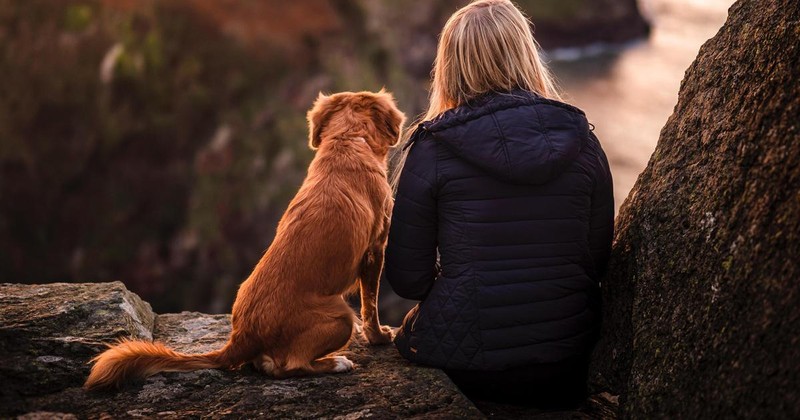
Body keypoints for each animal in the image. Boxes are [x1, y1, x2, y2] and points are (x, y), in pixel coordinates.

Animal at [86, 89, 406, 390]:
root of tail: (242, 336)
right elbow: (370, 304)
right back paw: (336, 363)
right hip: (340, 316)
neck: (348, 140)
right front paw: (379, 337)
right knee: (289, 365)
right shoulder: (376, 249)